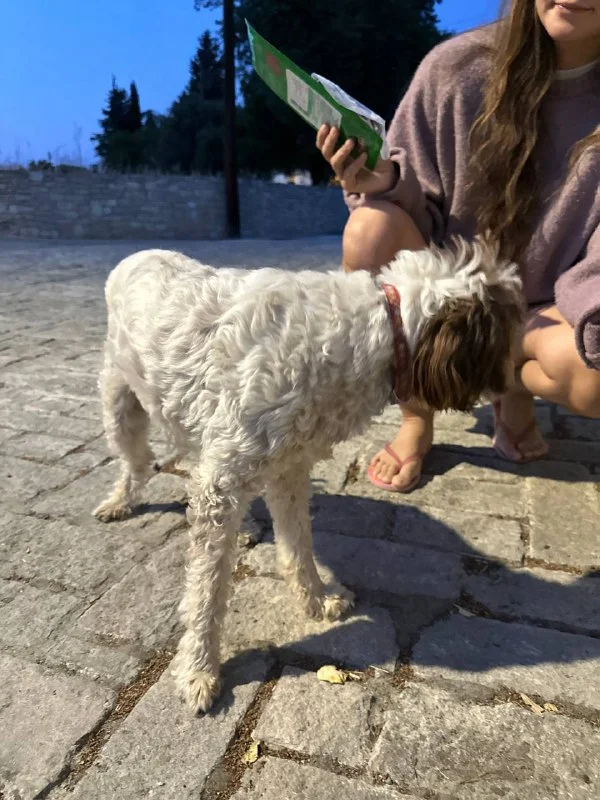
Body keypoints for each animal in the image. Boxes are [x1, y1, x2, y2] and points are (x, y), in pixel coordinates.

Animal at [93, 238, 523, 713]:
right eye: (508, 335)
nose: (517, 380)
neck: (373, 330)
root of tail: (139, 253)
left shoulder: (288, 471)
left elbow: (298, 546)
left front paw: (316, 600)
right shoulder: (225, 480)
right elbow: (208, 589)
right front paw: (199, 668)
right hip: (120, 400)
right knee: (137, 463)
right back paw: (119, 502)